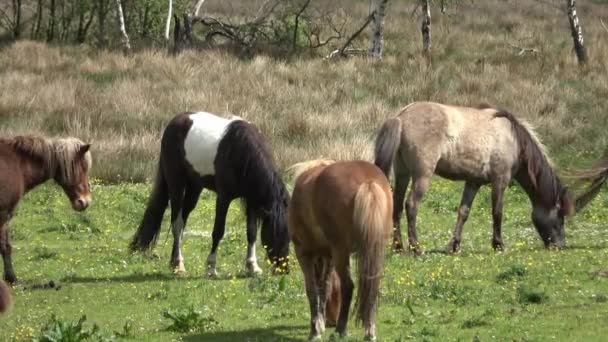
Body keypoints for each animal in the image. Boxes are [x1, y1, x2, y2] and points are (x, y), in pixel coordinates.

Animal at [0, 135, 92, 284]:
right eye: (83, 167)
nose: (85, 202)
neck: (16, 164)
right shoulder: (4, 214)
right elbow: (5, 246)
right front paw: (11, 278)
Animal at [130, 111, 290, 276]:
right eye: (275, 233)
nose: (284, 270)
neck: (242, 153)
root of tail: (174, 122)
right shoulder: (224, 197)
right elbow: (218, 231)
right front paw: (211, 267)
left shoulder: (251, 200)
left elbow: (251, 233)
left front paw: (252, 266)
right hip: (176, 184)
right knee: (177, 223)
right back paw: (178, 265)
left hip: (195, 188)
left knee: (183, 221)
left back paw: (174, 262)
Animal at [288, 160, 392, 342]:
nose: (331, 321)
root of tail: (368, 181)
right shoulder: (329, 257)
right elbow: (324, 287)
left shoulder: (304, 253)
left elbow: (313, 290)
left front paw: (315, 329)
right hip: (373, 250)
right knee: (372, 286)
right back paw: (369, 330)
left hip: (340, 252)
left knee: (348, 286)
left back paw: (340, 330)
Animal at [376, 101, 576, 254]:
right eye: (560, 217)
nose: (560, 246)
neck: (513, 138)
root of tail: (401, 118)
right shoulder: (500, 180)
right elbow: (497, 212)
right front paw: (498, 245)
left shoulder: (473, 182)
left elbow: (463, 212)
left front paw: (454, 246)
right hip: (422, 175)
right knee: (411, 206)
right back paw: (416, 248)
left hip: (403, 174)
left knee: (397, 206)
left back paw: (399, 247)